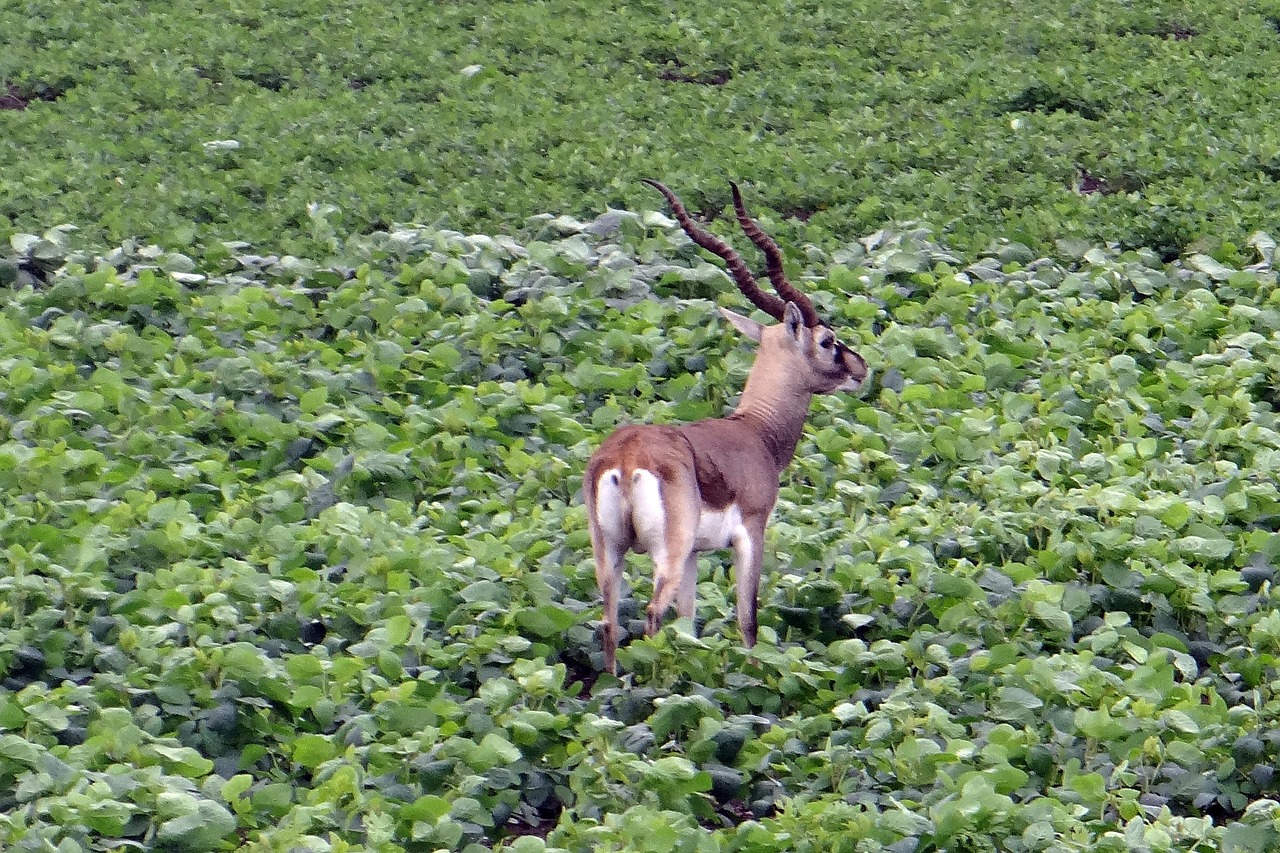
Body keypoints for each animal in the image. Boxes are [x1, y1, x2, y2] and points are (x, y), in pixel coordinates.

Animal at [586, 180, 870, 671]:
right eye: (827, 340)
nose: (861, 367)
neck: (754, 431)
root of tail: (624, 458)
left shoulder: (696, 555)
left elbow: (690, 621)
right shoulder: (751, 533)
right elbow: (747, 619)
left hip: (610, 552)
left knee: (610, 621)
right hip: (665, 552)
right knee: (651, 613)